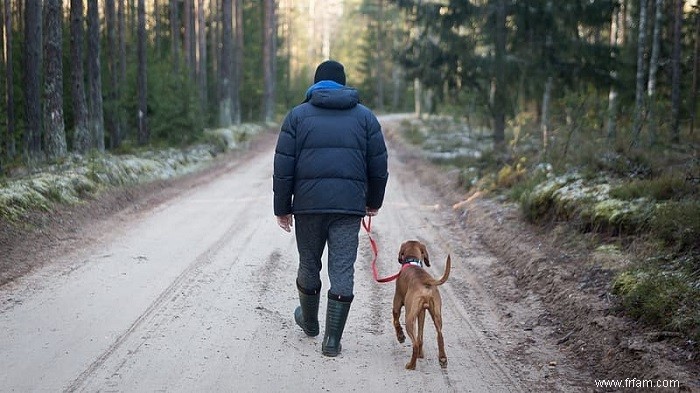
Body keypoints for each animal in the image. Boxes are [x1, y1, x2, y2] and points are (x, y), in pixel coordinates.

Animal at [392, 239, 452, 370]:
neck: (413, 261)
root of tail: (426, 280)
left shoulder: (397, 303)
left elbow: (395, 321)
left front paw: (400, 336)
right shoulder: (422, 312)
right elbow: (420, 336)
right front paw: (421, 354)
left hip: (409, 318)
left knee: (414, 343)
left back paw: (411, 365)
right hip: (436, 315)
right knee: (439, 334)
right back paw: (442, 359)